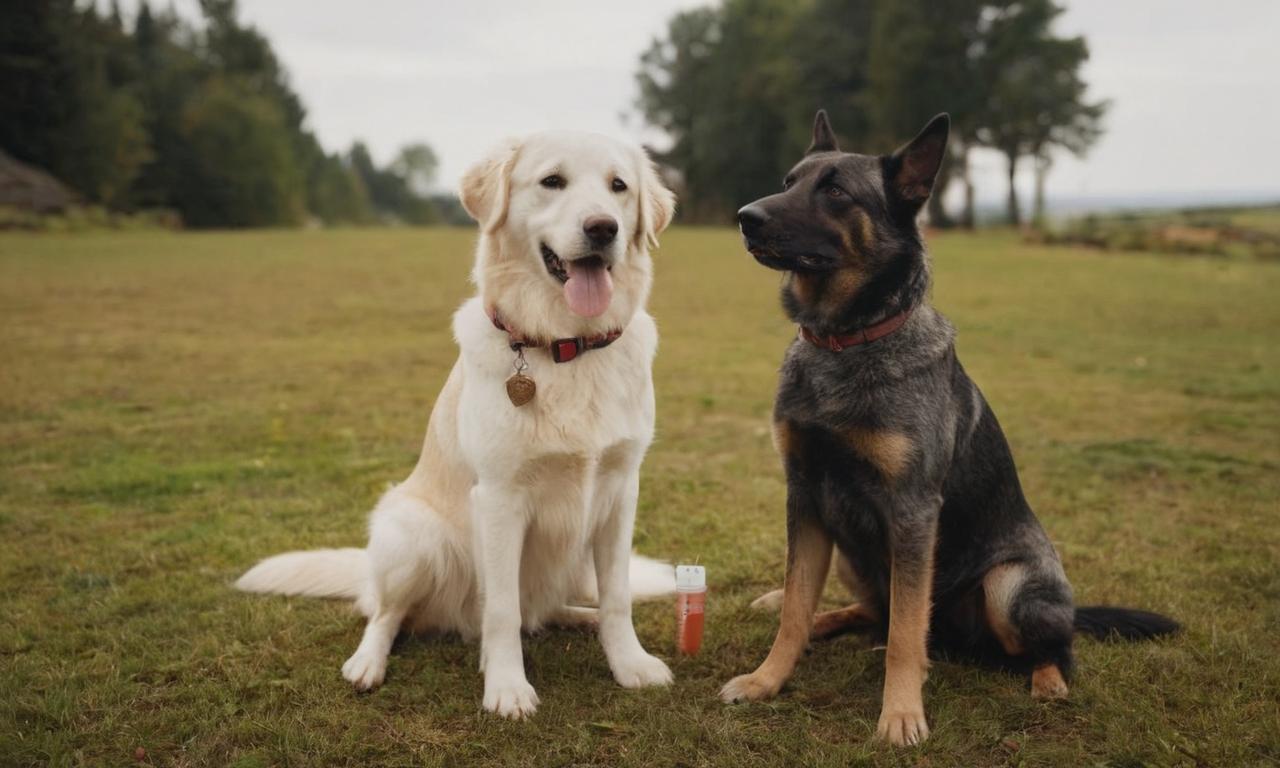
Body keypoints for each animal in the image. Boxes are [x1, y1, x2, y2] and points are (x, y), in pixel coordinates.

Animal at [239, 130, 680, 721]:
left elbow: (617, 597)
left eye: (619, 187)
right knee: (388, 615)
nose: (603, 228)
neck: (567, 346)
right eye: (552, 181)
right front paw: (507, 688)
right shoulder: (499, 498)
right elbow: (502, 612)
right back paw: (367, 664)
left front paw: (629, 664)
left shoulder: (620, 490)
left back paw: (577, 617)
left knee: (546, 609)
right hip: (412, 535)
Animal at [721, 112, 1177, 742]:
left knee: (1047, 647)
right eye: (789, 181)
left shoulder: (913, 513)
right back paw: (822, 619)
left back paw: (1047, 681)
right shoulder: (806, 499)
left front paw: (900, 713)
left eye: (835, 192)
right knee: (871, 611)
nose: (746, 217)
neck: (847, 341)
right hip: (850, 551)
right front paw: (766, 679)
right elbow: (795, 607)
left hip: (1007, 586)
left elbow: (905, 635)